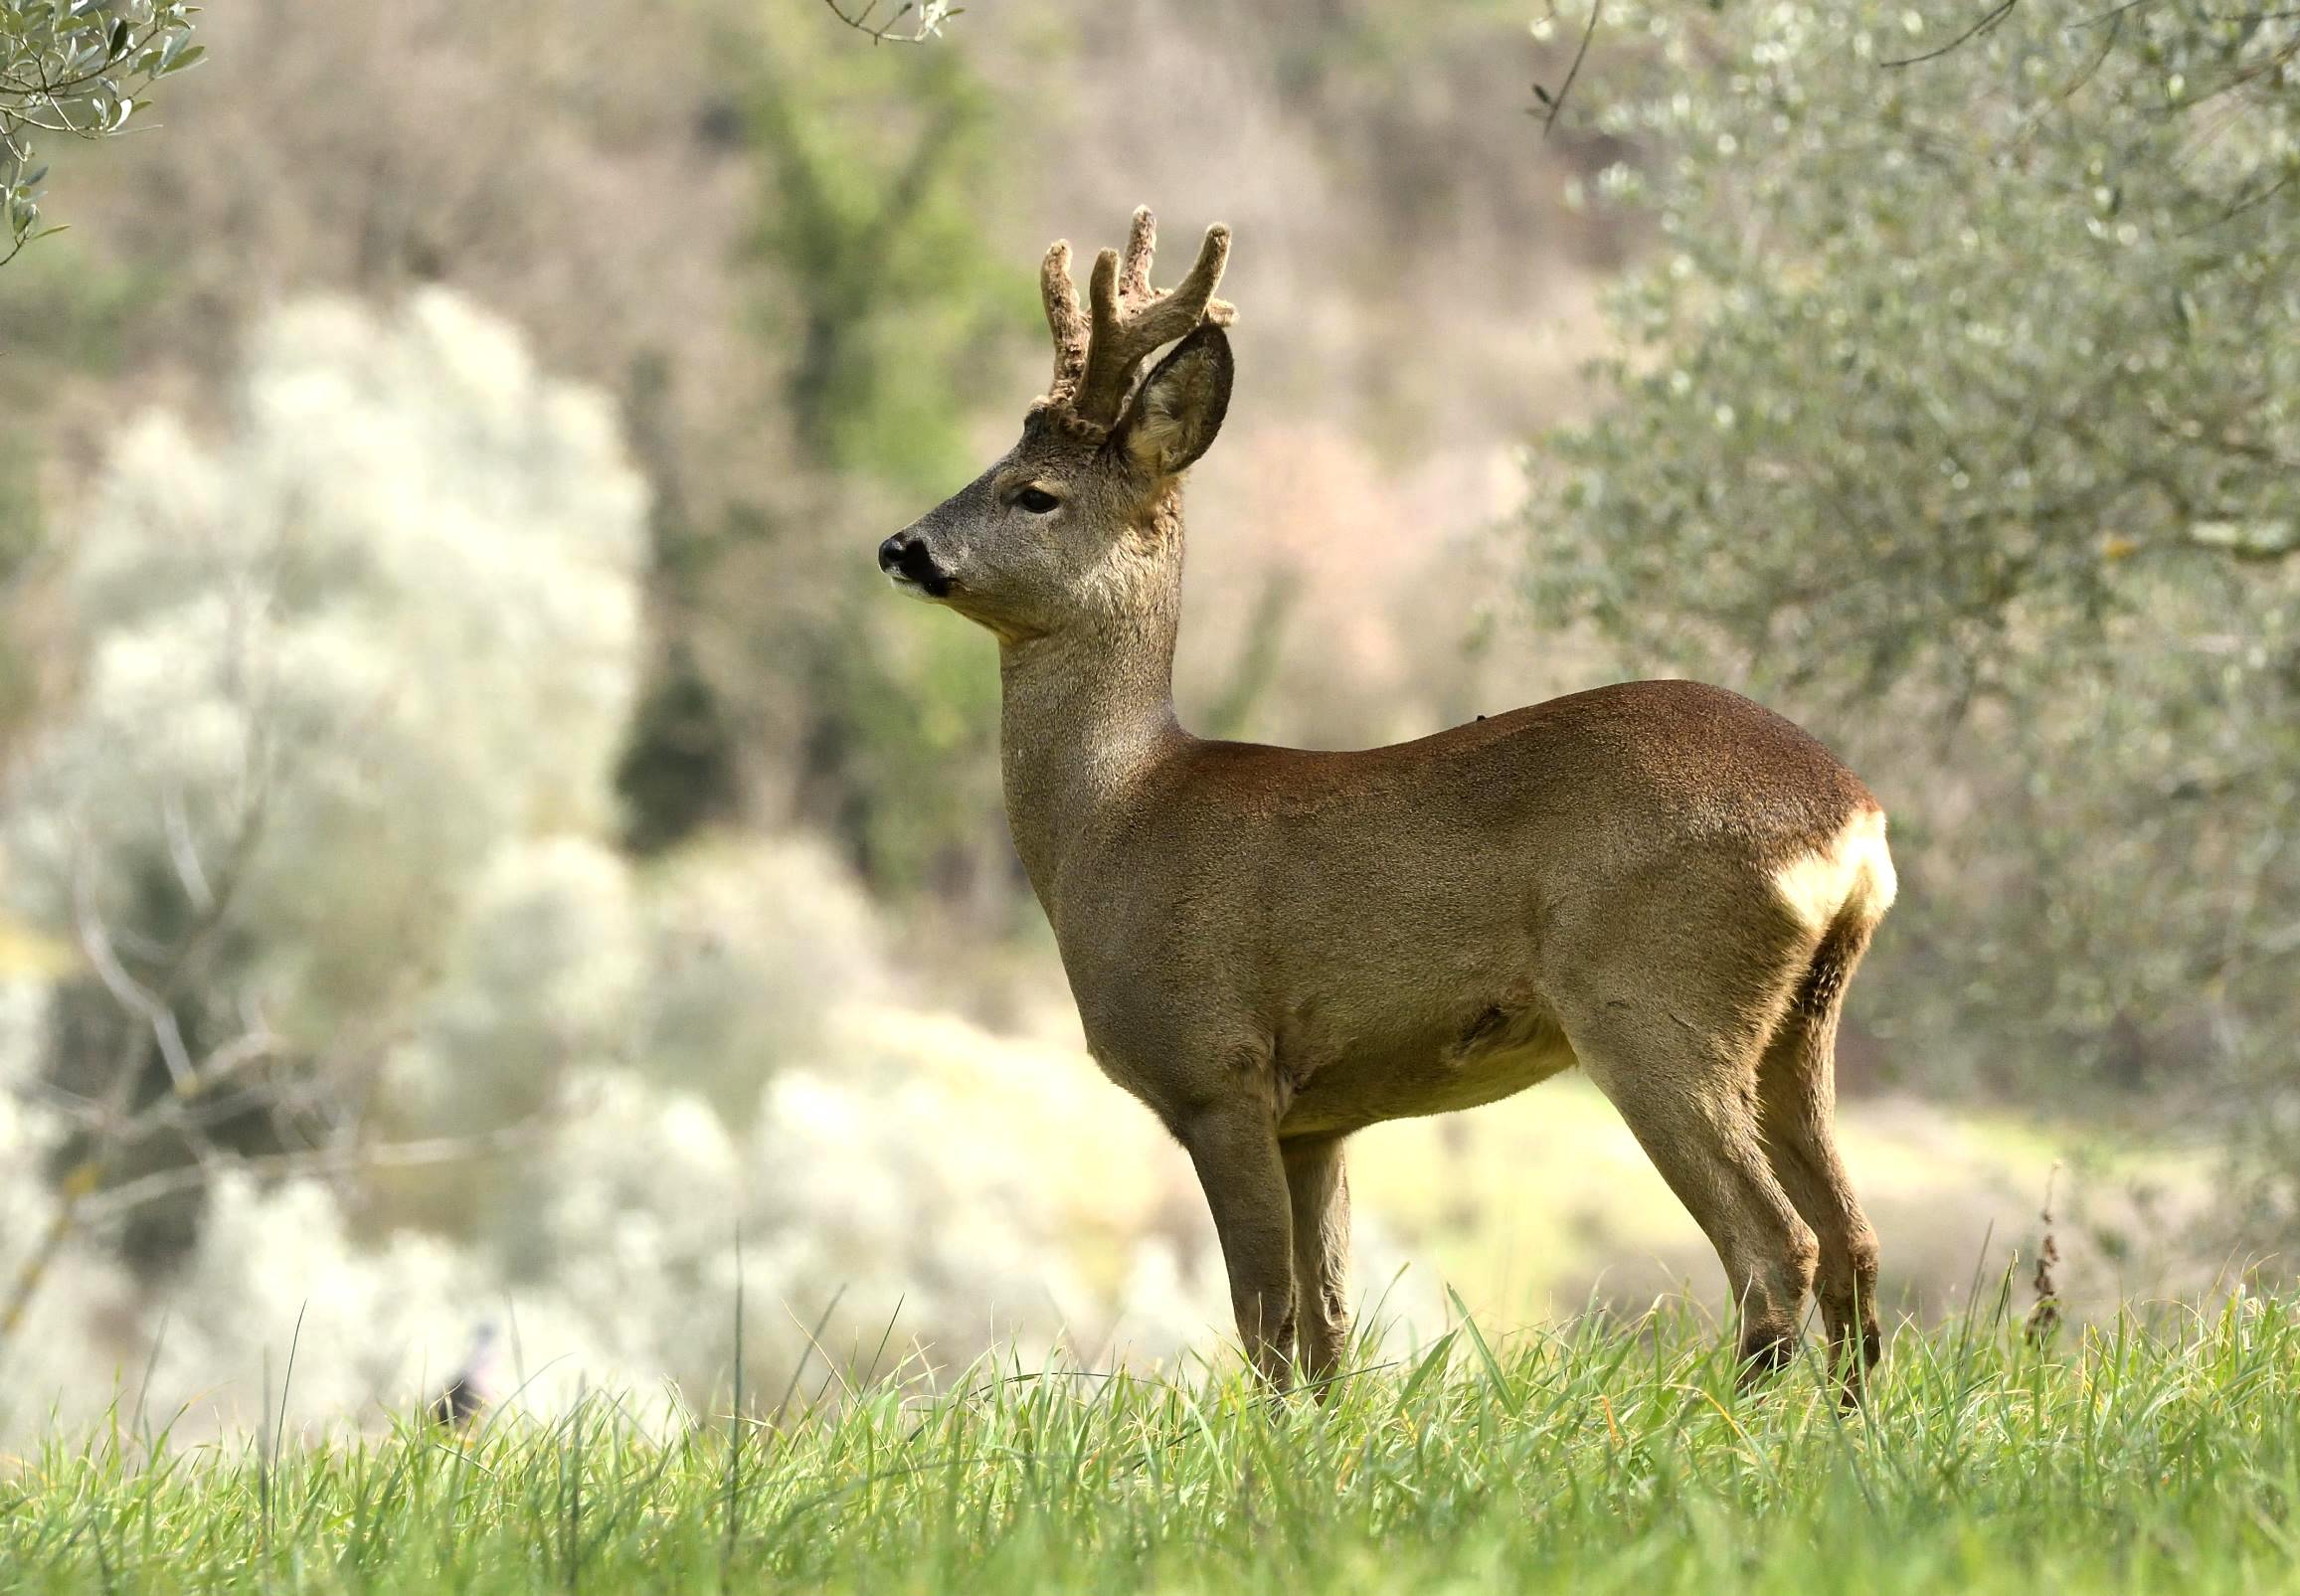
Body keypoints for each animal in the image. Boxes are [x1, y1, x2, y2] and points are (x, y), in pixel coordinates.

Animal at [876, 209, 1897, 1402]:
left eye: (1034, 493)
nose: (902, 546)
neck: (1118, 821)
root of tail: (1854, 823)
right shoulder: (1319, 1116)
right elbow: (1326, 1333)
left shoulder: (1218, 1066)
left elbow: (1267, 1318)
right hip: (1797, 1023)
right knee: (1855, 1240)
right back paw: (1845, 1426)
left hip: (1652, 997)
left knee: (1776, 1246)